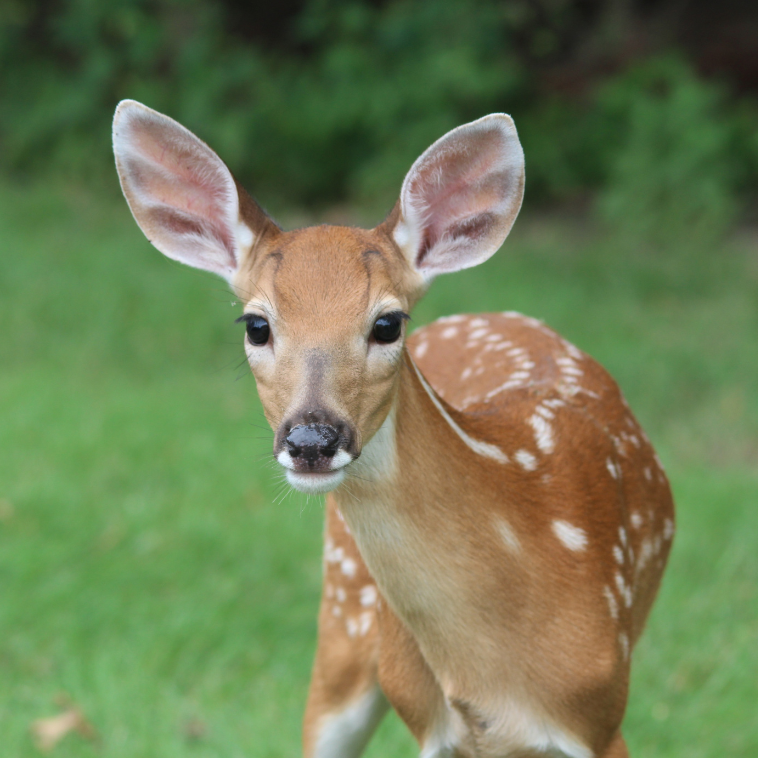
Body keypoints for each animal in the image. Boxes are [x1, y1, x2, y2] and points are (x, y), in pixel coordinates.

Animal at [113, 102, 676, 758]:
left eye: (387, 323)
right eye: (256, 324)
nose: (311, 440)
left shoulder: (601, 714)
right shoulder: (431, 725)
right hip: (344, 617)